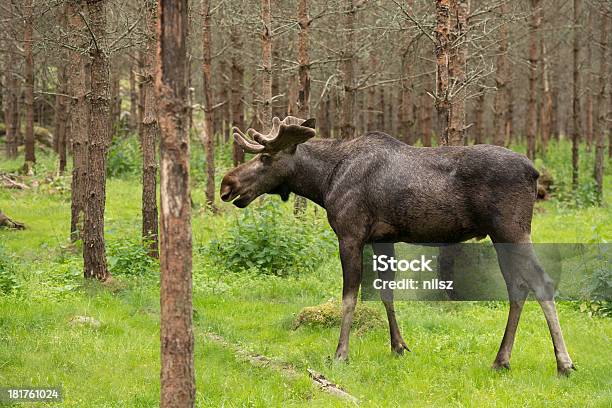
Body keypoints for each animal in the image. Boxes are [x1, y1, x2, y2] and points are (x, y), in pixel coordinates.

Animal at [222, 115, 576, 376]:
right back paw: (501, 360)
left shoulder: (350, 234)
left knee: (541, 283)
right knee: (517, 287)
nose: (227, 184)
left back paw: (563, 363)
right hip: (500, 236)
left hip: (512, 230)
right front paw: (399, 346)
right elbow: (386, 294)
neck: (323, 182)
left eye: (265, 156)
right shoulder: (383, 238)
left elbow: (349, 298)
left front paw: (340, 354)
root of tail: (535, 173)